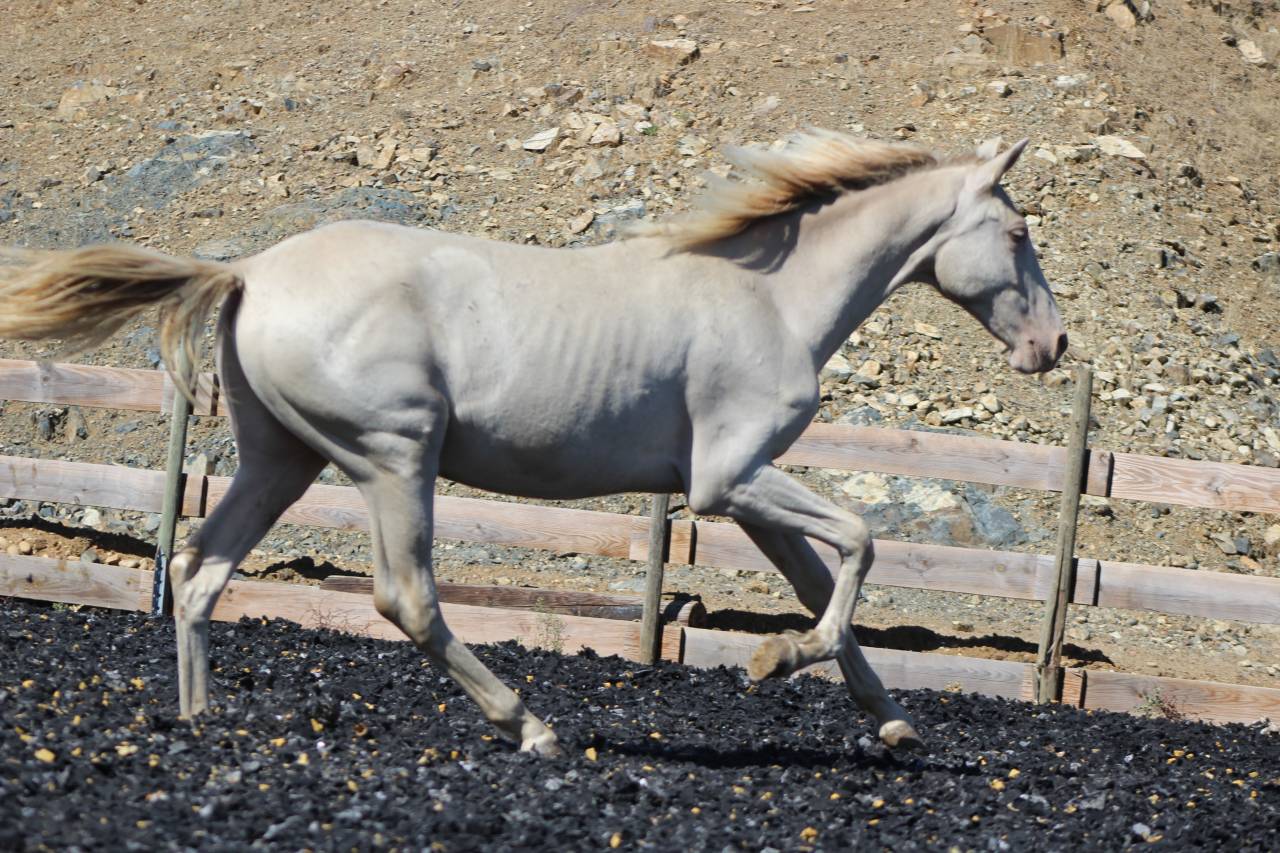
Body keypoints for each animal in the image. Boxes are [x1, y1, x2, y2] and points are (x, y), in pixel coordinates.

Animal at [0, 131, 1065, 757]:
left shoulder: (745, 490)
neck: (769, 295)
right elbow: (861, 543)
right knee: (404, 597)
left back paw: (200, 720)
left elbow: (823, 579)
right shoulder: (727, 482)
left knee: (199, 569)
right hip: (394, 457)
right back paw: (534, 729)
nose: (1052, 346)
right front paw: (774, 665)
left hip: (279, 461)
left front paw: (892, 720)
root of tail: (251, 270)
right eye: (1017, 234)